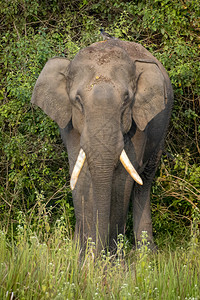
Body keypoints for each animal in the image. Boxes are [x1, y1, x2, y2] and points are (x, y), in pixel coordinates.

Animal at [31, 38, 173, 254]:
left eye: (126, 100)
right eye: (78, 101)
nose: (98, 254)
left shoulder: (138, 124)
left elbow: (122, 181)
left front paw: (110, 260)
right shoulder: (70, 124)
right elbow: (80, 178)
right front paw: (83, 257)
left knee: (145, 182)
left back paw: (147, 255)